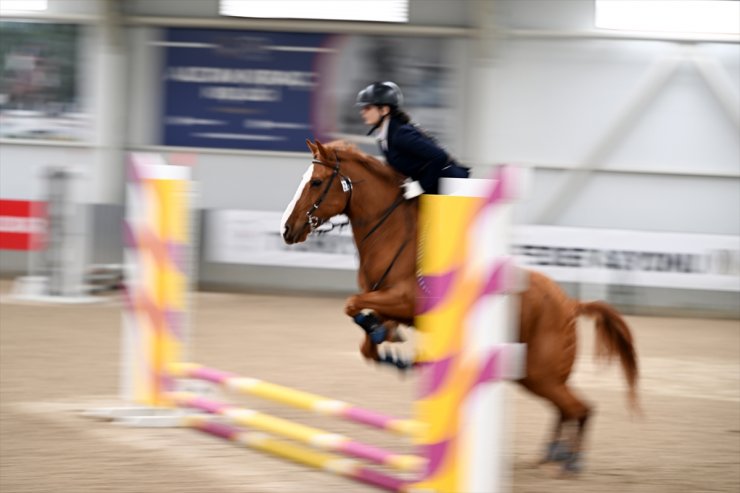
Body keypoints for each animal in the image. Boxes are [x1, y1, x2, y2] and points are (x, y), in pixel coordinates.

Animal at [280, 139, 640, 472]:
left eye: (316, 182)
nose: (287, 229)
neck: (390, 234)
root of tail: (570, 303)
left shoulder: (405, 300)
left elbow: (353, 306)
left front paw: (395, 349)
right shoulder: (386, 304)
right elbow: (366, 338)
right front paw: (394, 352)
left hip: (542, 374)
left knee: (580, 408)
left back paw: (570, 461)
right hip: (532, 374)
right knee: (567, 408)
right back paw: (552, 455)